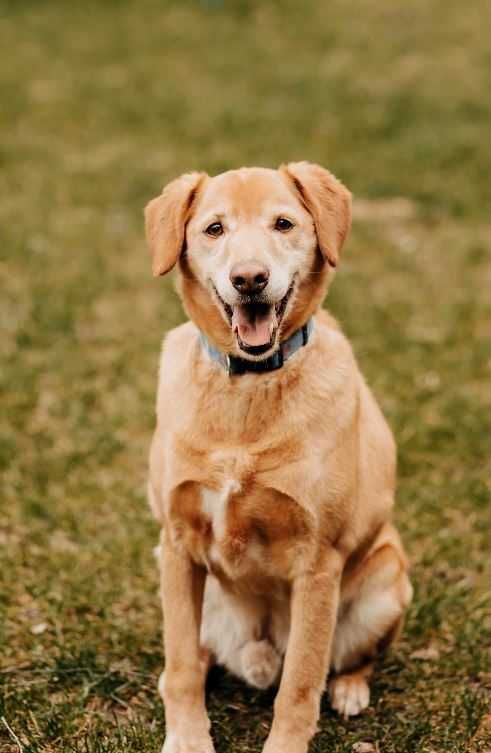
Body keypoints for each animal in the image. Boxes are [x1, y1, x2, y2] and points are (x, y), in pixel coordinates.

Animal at [144, 160, 414, 752]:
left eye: (283, 224)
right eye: (214, 229)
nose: (250, 279)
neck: (247, 387)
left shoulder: (318, 563)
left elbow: (301, 684)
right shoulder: (177, 542)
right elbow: (181, 666)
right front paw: (188, 738)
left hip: (387, 582)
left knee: (345, 662)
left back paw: (350, 690)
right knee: (191, 658)